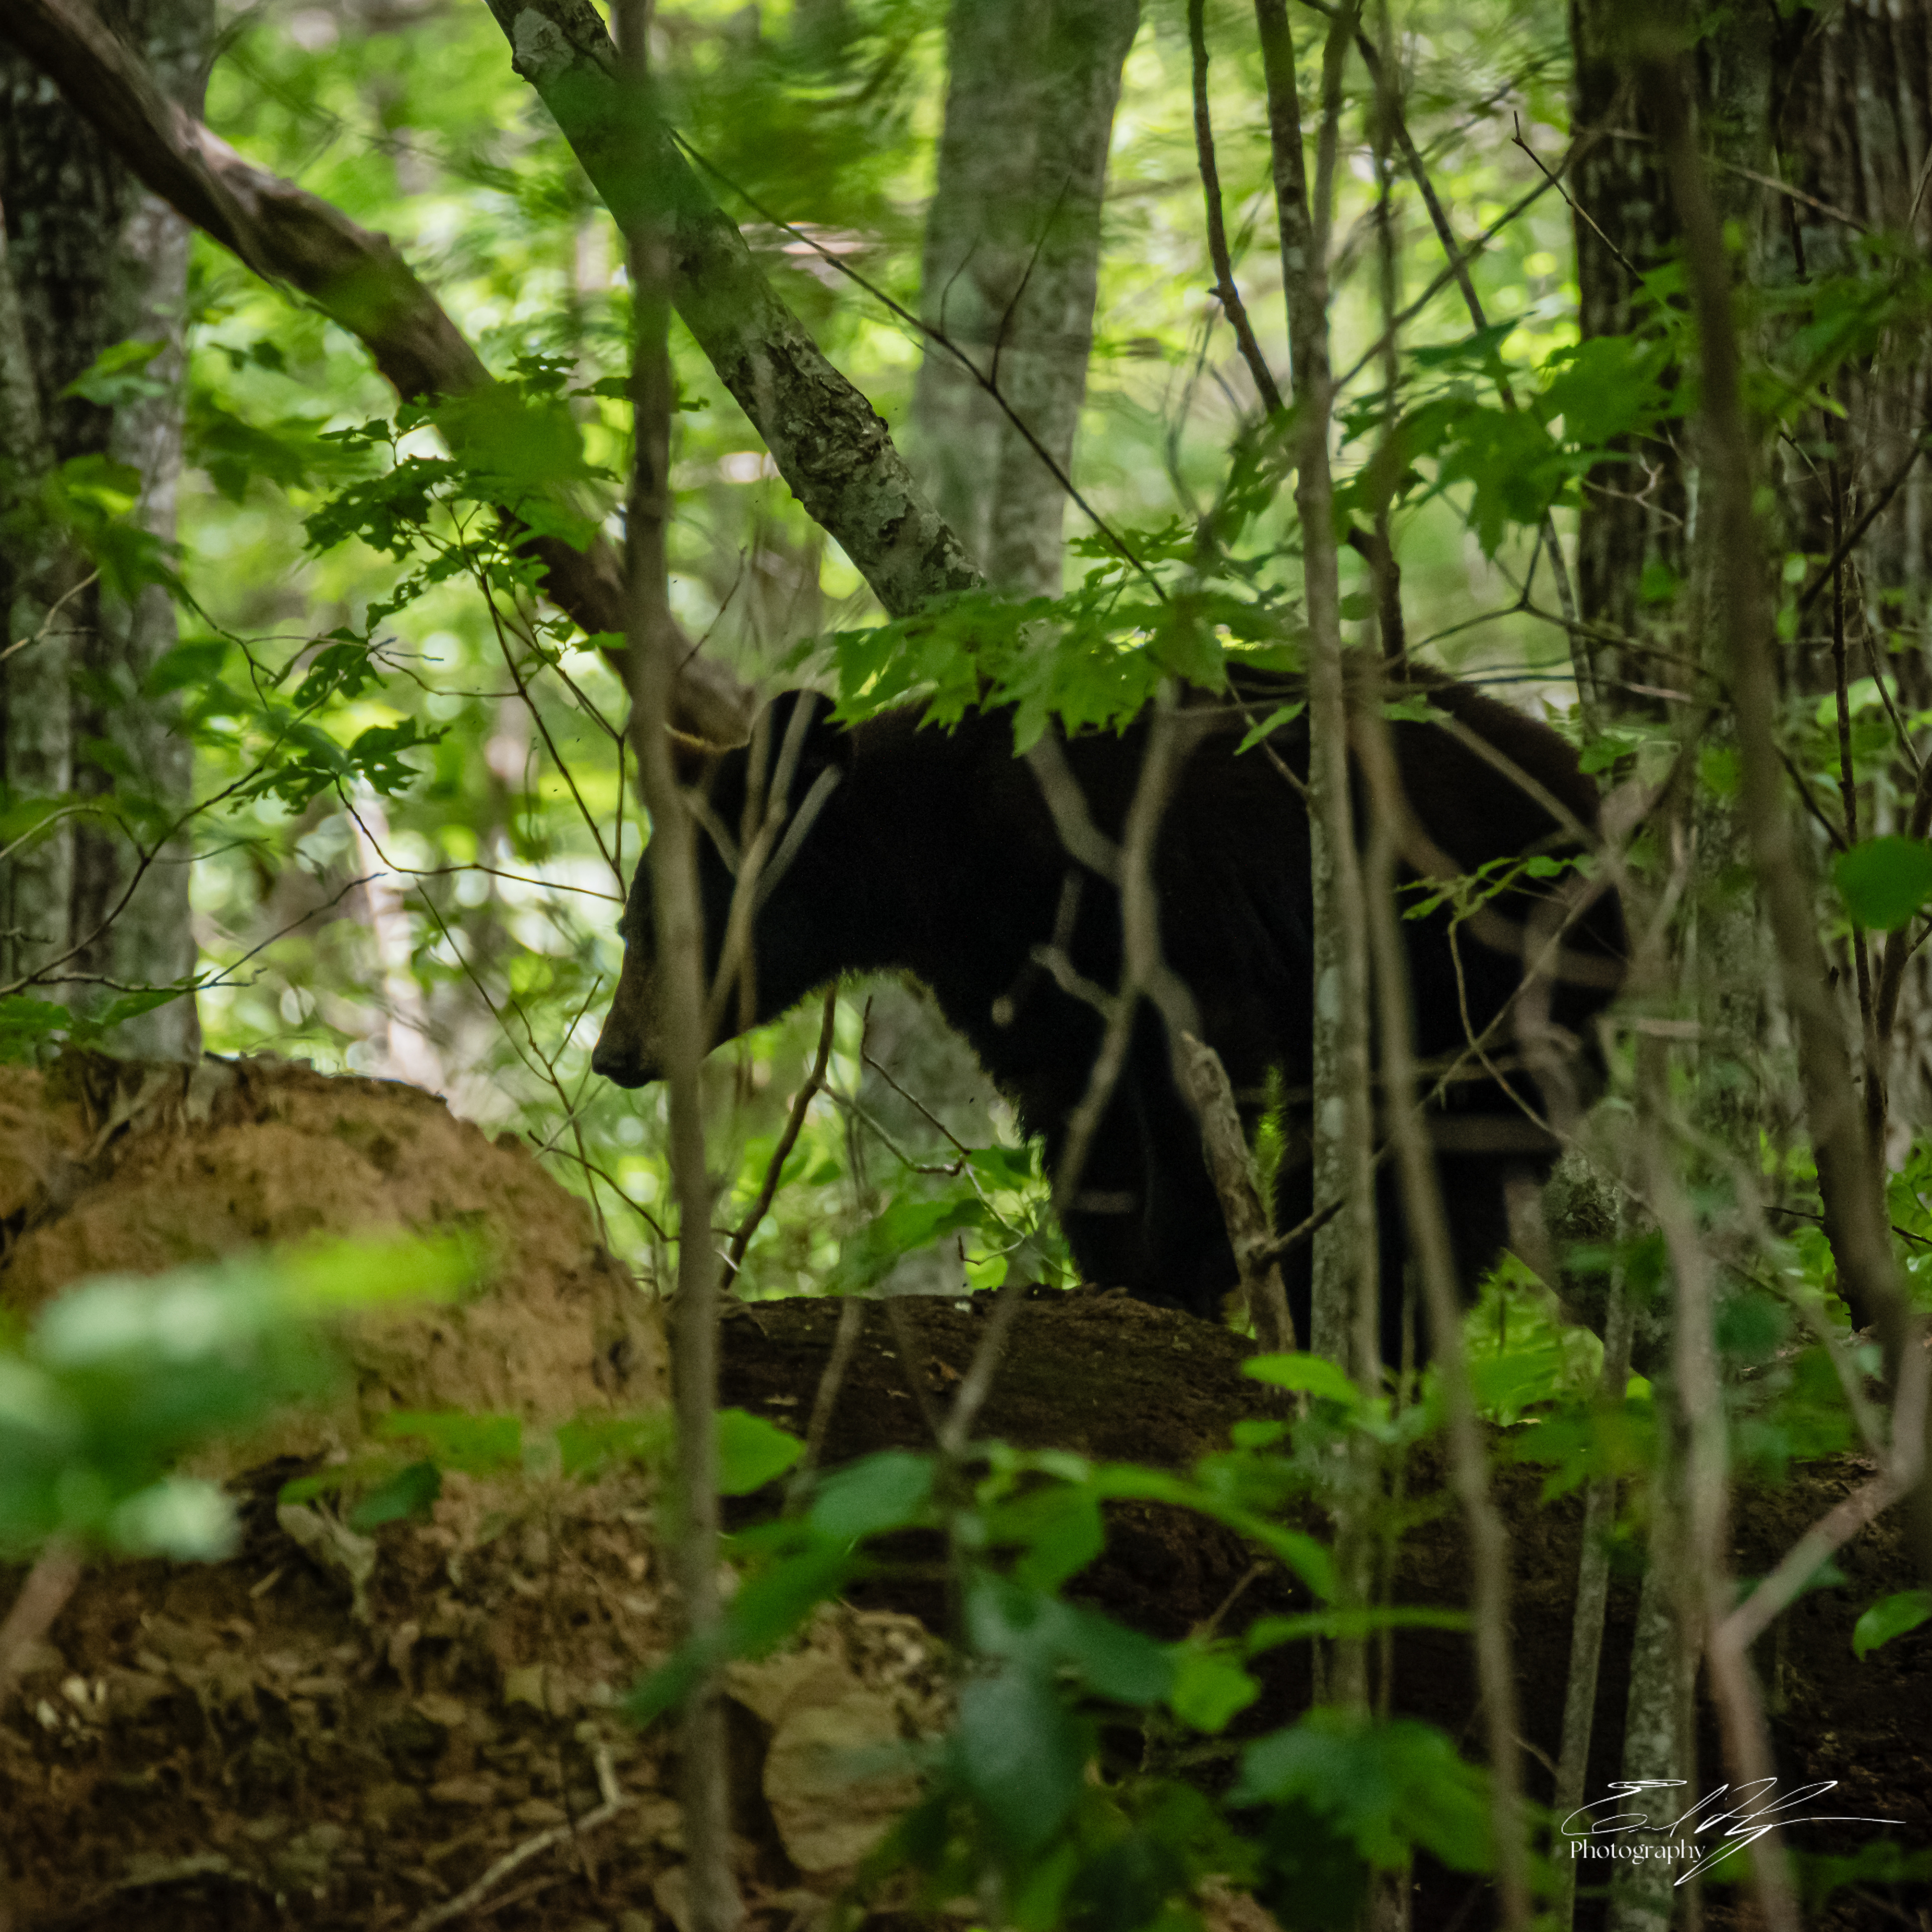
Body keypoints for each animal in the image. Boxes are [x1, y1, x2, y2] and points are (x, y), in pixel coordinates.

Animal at [592, 670, 1625, 1366]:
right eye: (628, 924)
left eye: (654, 928)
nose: (612, 1055)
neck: (934, 854)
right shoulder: (1012, 969)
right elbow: (1079, 1106)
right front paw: (1112, 1267)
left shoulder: (1153, 900)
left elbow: (1188, 1079)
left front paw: (1180, 1272)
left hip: (1483, 949)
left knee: (1438, 1141)